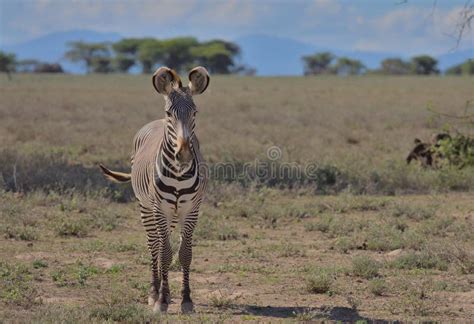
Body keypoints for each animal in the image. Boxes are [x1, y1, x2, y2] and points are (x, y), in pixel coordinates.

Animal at [99, 66, 208, 314]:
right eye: (169, 114)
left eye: (195, 113)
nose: (184, 155)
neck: (178, 173)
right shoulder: (160, 209)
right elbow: (165, 252)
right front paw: (161, 301)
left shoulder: (191, 210)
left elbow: (184, 253)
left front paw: (186, 299)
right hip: (146, 207)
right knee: (154, 245)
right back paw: (155, 291)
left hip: (172, 214)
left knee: (161, 244)